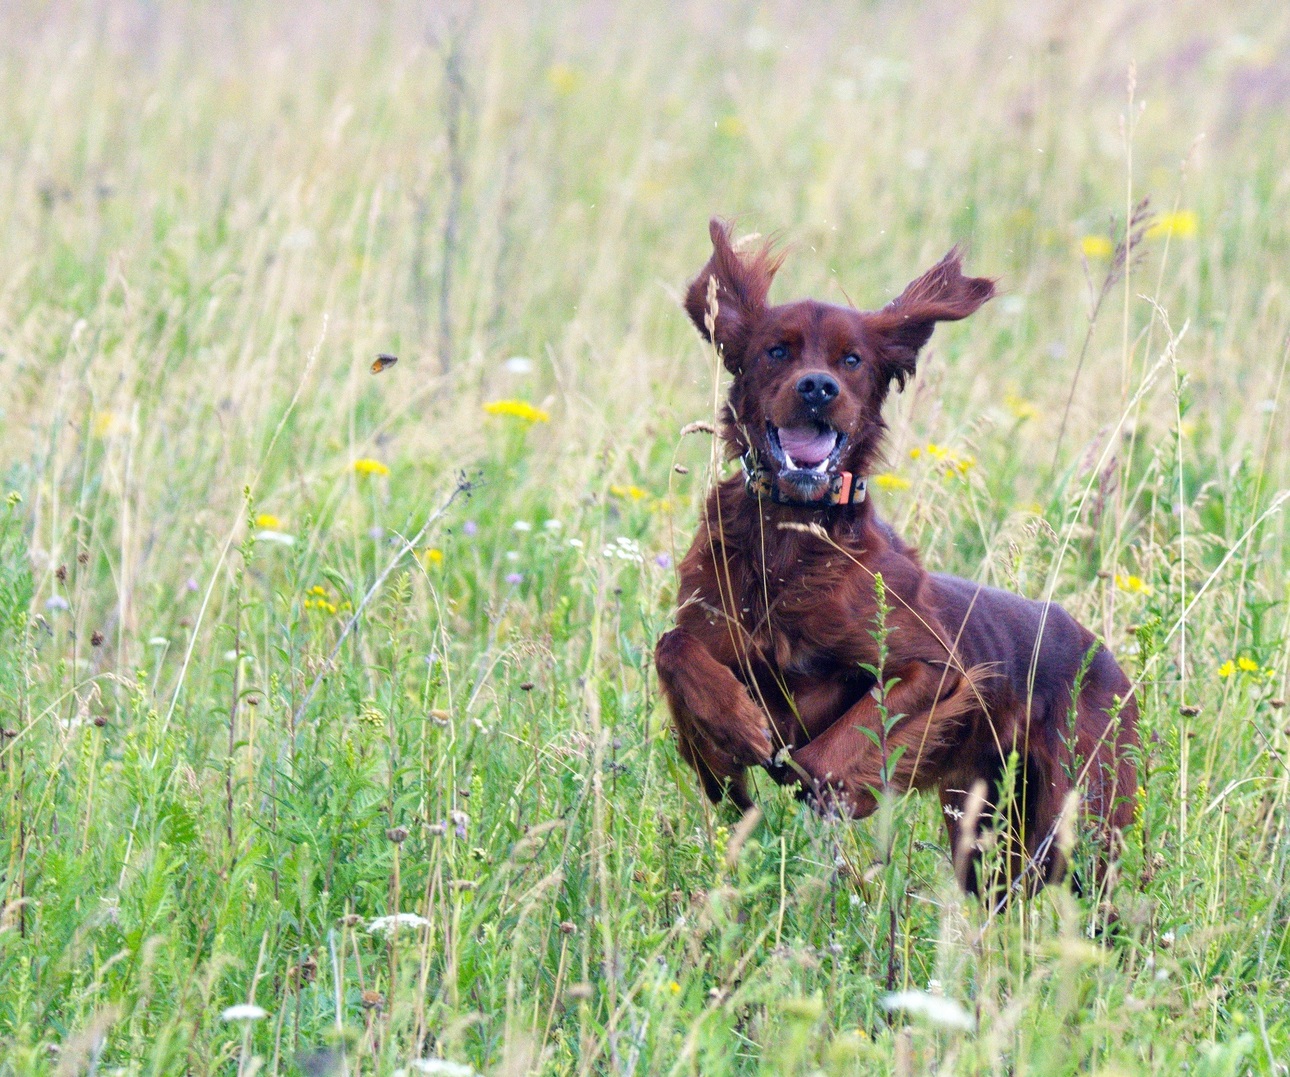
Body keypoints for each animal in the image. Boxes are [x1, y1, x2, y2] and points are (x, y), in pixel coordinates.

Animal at [655, 220, 1140, 892]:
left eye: (852, 359)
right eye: (777, 351)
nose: (818, 387)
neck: (793, 538)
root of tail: (1107, 659)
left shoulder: (937, 671)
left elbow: (836, 748)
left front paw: (811, 781)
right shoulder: (707, 634)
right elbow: (673, 649)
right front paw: (732, 735)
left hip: (1081, 826)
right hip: (982, 827)